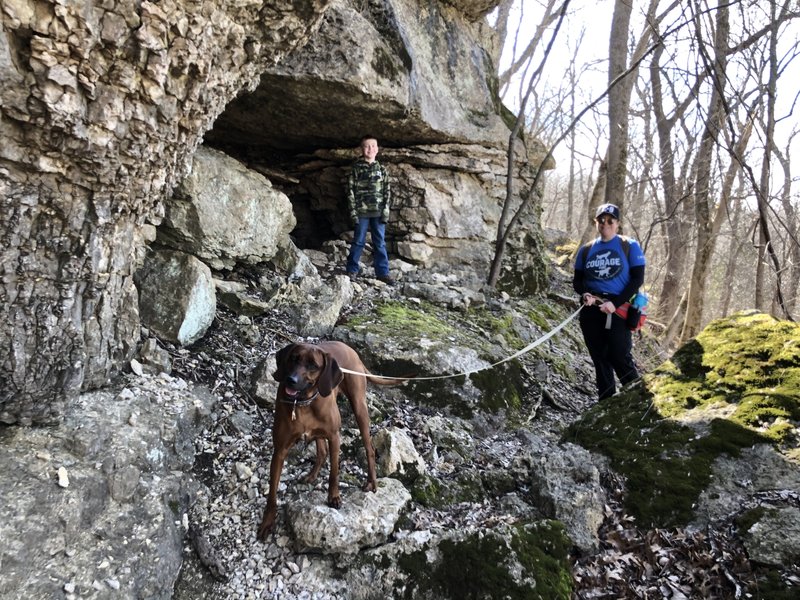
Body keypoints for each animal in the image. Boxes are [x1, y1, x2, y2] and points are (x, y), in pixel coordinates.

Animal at [260, 340, 404, 540]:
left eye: (313, 365)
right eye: (293, 358)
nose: (290, 380)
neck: (304, 403)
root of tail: (350, 349)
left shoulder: (335, 436)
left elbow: (334, 472)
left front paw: (334, 497)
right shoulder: (280, 450)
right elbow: (272, 493)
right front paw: (267, 521)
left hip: (359, 408)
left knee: (369, 448)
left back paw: (371, 482)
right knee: (322, 451)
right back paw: (312, 475)